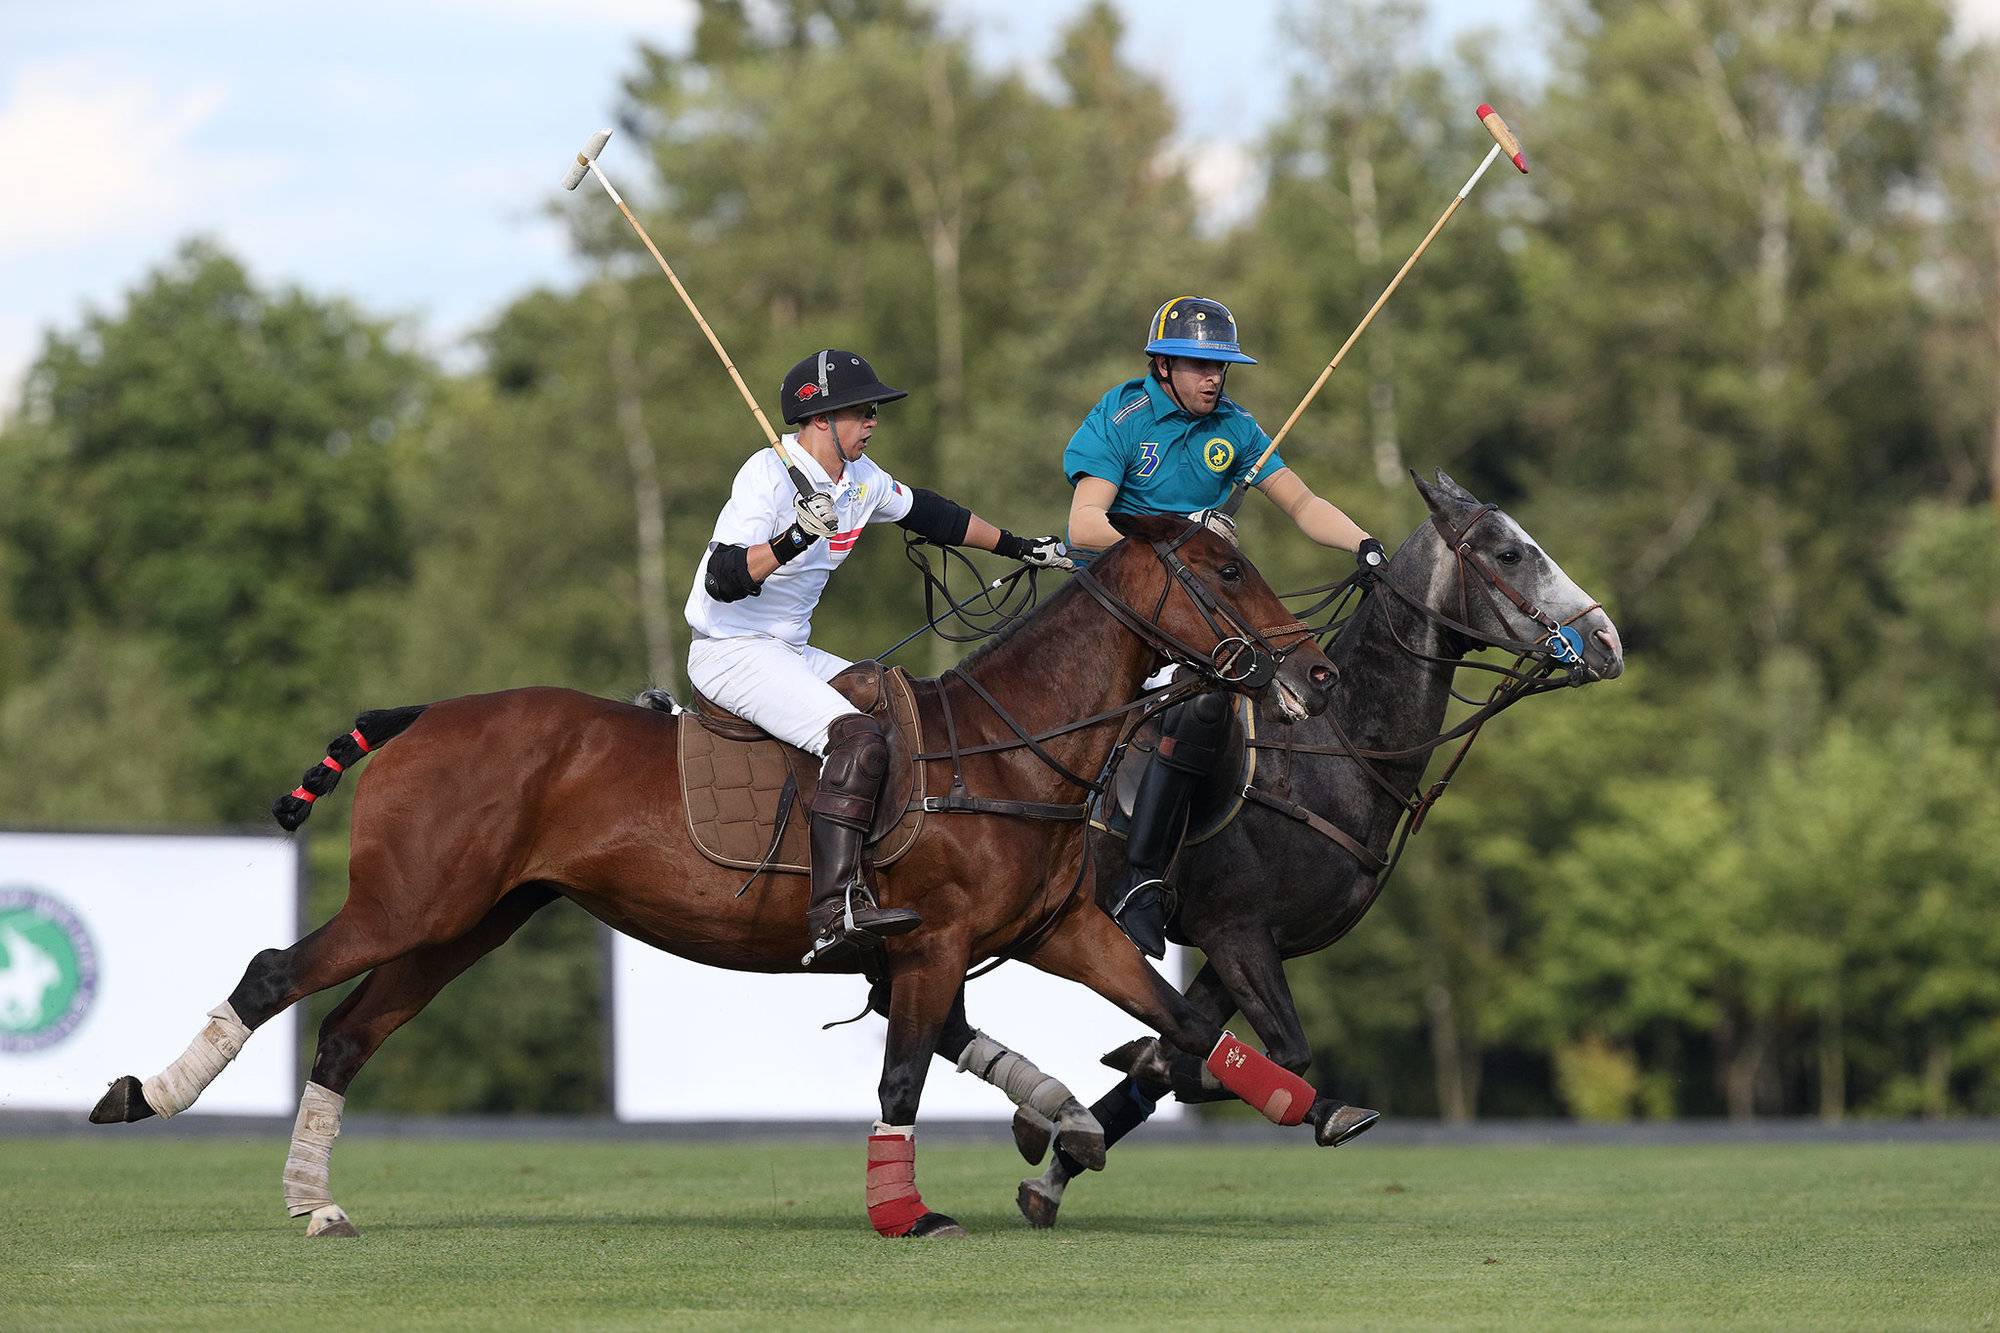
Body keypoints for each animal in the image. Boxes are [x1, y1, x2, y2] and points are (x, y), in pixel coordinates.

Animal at [90, 510, 1360, 1232]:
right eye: (1225, 571)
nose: (1313, 674)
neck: (1014, 743)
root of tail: (423, 716)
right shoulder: (932, 941)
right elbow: (904, 1075)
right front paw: (905, 1213)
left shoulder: (1064, 929)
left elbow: (1183, 1026)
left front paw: (1306, 1104)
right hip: (410, 899)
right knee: (272, 971)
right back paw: (141, 1097)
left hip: (471, 920)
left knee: (351, 1032)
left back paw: (315, 1202)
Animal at [1016, 470, 1624, 1224]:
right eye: (1510, 554)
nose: (1607, 640)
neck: (1335, 750)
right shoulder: (1236, 929)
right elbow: (1277, 1054)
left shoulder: (1247, 942)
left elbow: (1191, 1051)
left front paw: (1059, 1163)